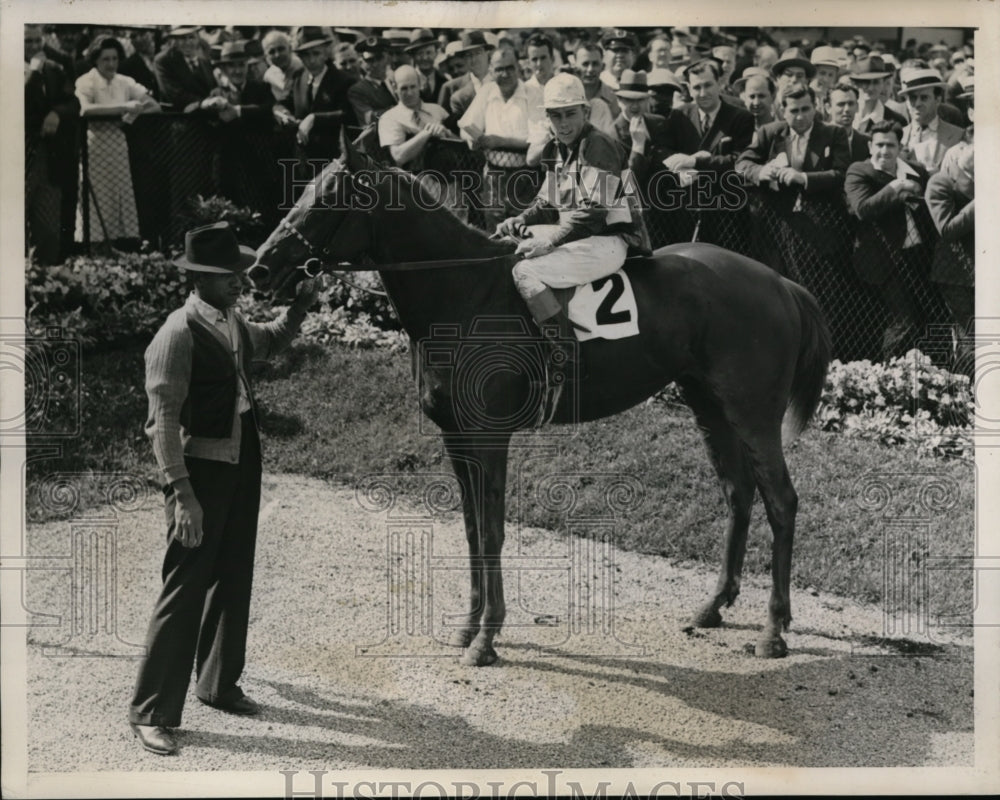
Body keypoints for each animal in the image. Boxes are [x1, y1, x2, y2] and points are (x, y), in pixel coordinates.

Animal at [252, 141, 836, 664]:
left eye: (329, 198)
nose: (259, 268)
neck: (465, 292)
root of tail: (780, 283)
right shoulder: (455, 436)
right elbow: (471, 527)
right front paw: (469, 626)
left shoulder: (490, 437)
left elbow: (492, 528)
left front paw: (487, 637)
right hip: (711, 409)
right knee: (739, 494)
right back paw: (712, 607)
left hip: (754, 415)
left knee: (781, 501)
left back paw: (773, 631)